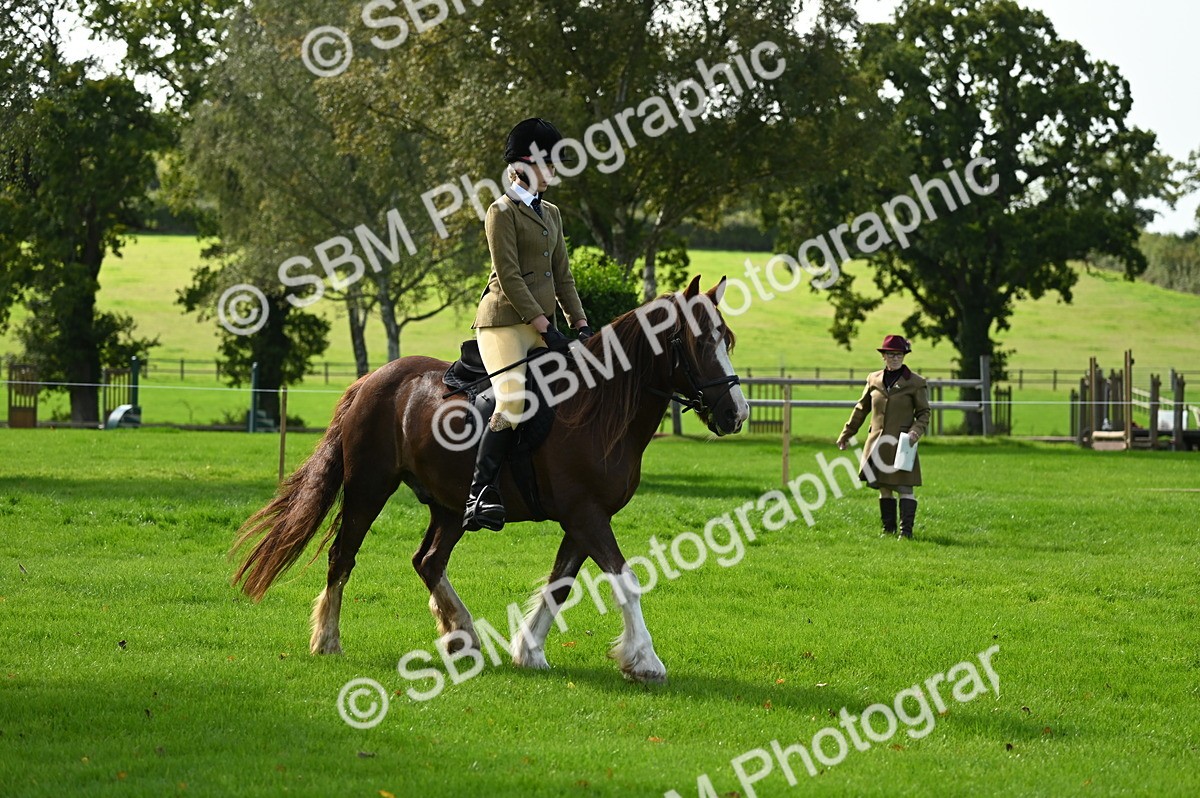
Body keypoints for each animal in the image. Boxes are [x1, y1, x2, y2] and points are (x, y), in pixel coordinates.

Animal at [230, 276, 749, 683]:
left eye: (727, 340)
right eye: (701, 342)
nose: (736, 414)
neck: (597, 408)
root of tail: (371, 380)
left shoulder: (583, 519)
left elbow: (560, 585)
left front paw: (529, 652)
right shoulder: (586, 515)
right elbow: (626, 581)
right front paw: (645, 661)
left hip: (450, 505)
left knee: (428, 561)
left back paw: (463, 635)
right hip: (368, 488)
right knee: (344, 555)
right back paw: (328, 640)